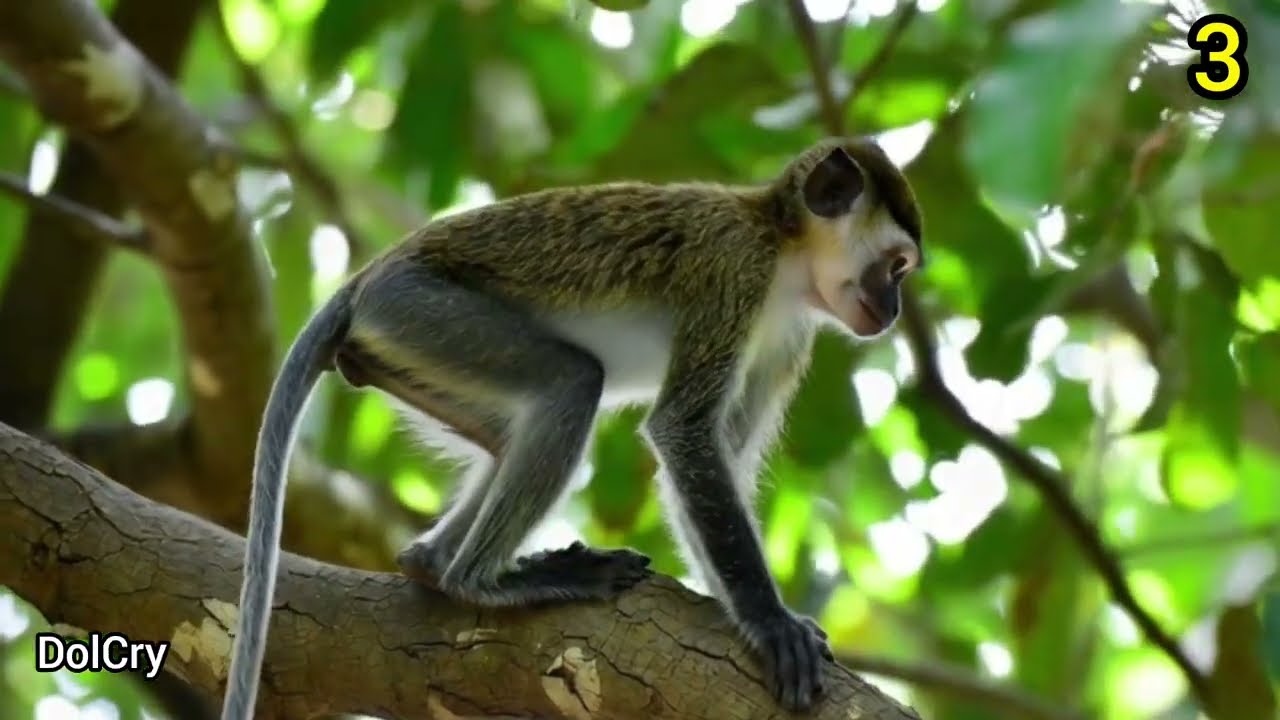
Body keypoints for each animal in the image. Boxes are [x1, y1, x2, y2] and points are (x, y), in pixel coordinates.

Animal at [220, 136, 922, 719]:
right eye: (896, 268)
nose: (892, 311)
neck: (782, 250)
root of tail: (370, 276)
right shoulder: (733, 274)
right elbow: (684, 433)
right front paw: (770, 621)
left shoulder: (786, 336)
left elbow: (721, 448)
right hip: (421, 312)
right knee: (574, 382)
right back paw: (481, 580)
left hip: (409, 344)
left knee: (510, 434)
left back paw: (430, 562)